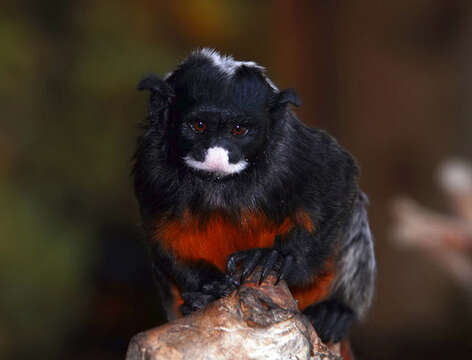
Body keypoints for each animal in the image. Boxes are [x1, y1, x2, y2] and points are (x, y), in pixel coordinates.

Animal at [134, 48, 376, 346]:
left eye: (238, 129)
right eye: (199, 126)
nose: (217, 154)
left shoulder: (293, 152)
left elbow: (340, 179)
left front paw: (280, 258)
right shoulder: (149, 164)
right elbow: (160, 235)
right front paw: (206, 285)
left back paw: (336, 310)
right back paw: (195, 303)